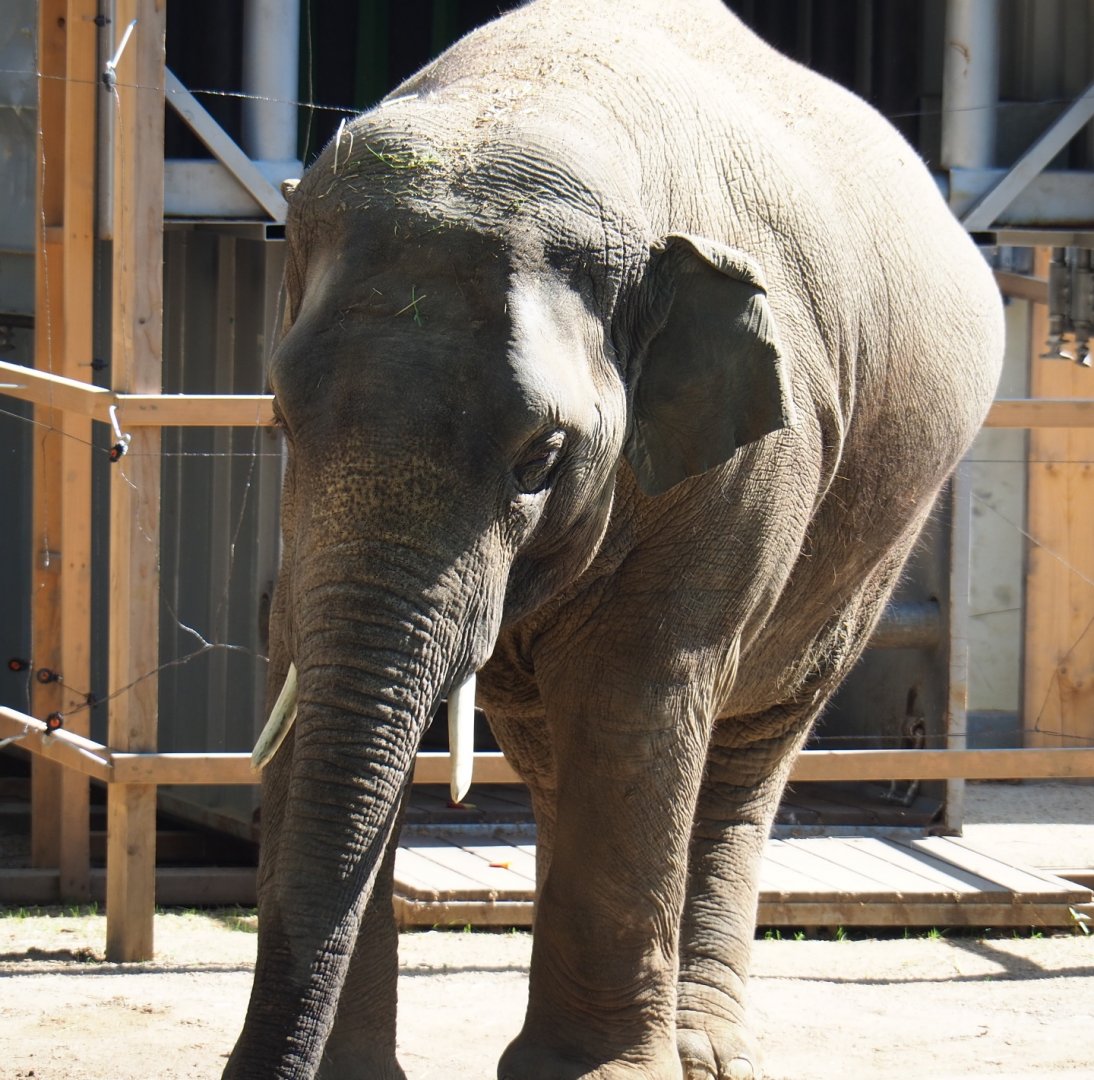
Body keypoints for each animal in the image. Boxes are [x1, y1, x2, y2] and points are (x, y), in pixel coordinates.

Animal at [224, 0, 1003, 1077]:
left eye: (541, 457)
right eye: (282, 419)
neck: (532, 97)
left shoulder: (751, 456)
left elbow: (635, 686)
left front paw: (595, 1075)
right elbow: (299, 666)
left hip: (878, 532)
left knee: (743, 747)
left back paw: (700, 1053)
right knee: (561, 754)